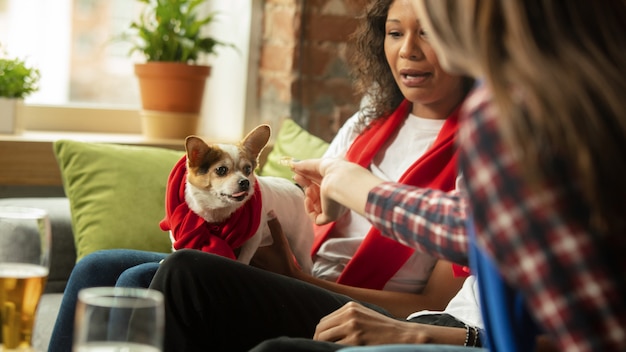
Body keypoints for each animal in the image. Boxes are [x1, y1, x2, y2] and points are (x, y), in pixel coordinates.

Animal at [166, 124, 312, 272]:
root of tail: (297, 188)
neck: (217, 209)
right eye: (221, 170)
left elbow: (243, 259)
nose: (245, 182)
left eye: (248, 169)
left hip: (301, 248)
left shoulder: (254, 239)